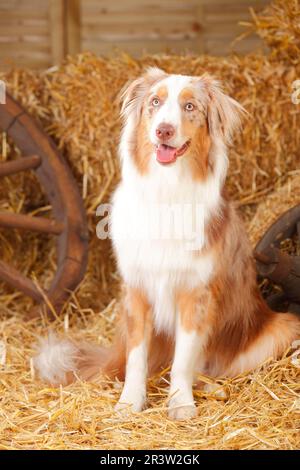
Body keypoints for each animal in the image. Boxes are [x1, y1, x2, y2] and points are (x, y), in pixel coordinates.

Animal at [35, 68, 300, 420]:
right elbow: (136, 359)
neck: (167, 188)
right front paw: (129, 402)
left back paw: (213, 388)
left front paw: (180, 402)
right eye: (155, 102)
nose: (164, 129)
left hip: (283, 326)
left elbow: (183, 359)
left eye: (190, 106)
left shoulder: (195, 294)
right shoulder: (136, 290)